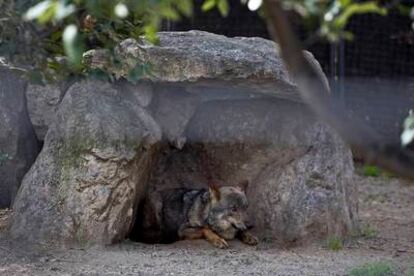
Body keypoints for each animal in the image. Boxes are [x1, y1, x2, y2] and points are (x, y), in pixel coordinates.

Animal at [130, 181, 258, 248]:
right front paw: (218, 239)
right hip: (157, 204)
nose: (251, 225)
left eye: (246, 207)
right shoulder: (183, 230)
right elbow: (204, 229)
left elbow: (241, 230)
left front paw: (249, 236)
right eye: (234, 209)